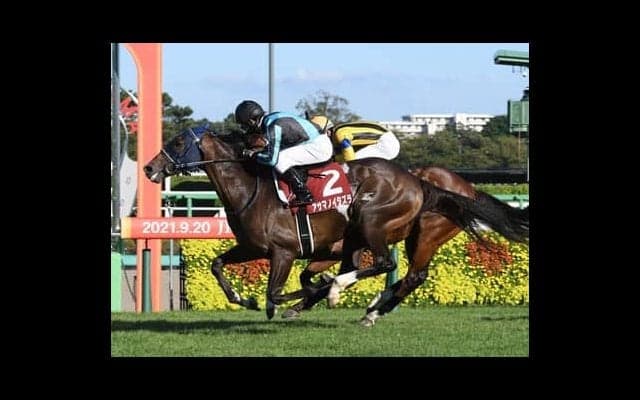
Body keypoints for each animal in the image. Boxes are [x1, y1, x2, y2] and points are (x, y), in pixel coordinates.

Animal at [144, 128, 529, 324]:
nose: (149, 168)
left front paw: (299, 298)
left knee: (392, 266)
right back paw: (366, 306)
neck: (250, 189)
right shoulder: (254, 247)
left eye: (178, 141)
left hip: (382, 224)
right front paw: (245, 299)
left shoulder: (284, 252)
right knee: (404, 274)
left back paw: (348, 296)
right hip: (383, 236)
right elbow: (217, 264)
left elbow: (277, 291)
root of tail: (421, 182)